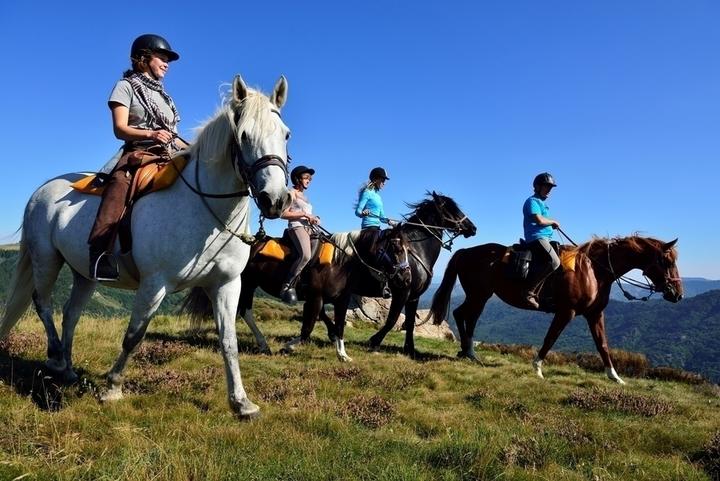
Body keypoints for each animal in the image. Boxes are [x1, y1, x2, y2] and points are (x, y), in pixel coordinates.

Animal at [0, 74, 292, 416]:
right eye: (244, 135)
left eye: (286, 134)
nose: (275, 199)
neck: (205, 209)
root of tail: (42, 189)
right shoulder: (154, 284)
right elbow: (133, 335)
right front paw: (112, 387)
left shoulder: (226, 284)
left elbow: (229, 341)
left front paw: (241, 401)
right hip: (46, 258)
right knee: (43, 302)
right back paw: (56, 357)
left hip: (84, 272)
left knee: (71, 313)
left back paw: (69, 369)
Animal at [183, 225, 414, 360]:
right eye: (397, 249)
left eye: (408, 249)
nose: (407, 279)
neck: (339, 262)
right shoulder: (316, 298)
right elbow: (307, 329)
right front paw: (288, 347)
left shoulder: (341, 299)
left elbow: (339, 326)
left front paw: (342, 355)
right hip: (246, 284)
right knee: (244, 311)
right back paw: (262, 344)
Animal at [366, 192, 478, 356]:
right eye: (451, 208)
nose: (472, 228)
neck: (417, 249)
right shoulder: (402, 292)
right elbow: (392, 320)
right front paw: (374, 341)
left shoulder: (414, 296)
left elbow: (410, 322)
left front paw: (410, 349)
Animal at [430, 234, 684, 384]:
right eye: (667, 262)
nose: (678, 294)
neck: (594, 270)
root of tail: (466, 251)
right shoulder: (566, 312)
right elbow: (550, 339)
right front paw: (537, 368)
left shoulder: (594, 314)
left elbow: (602, 345)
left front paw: (615, 377)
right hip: (479, 295)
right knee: (466, 316)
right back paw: (469, 352)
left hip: (479, 295)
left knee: (463, 315)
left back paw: (467, 352)